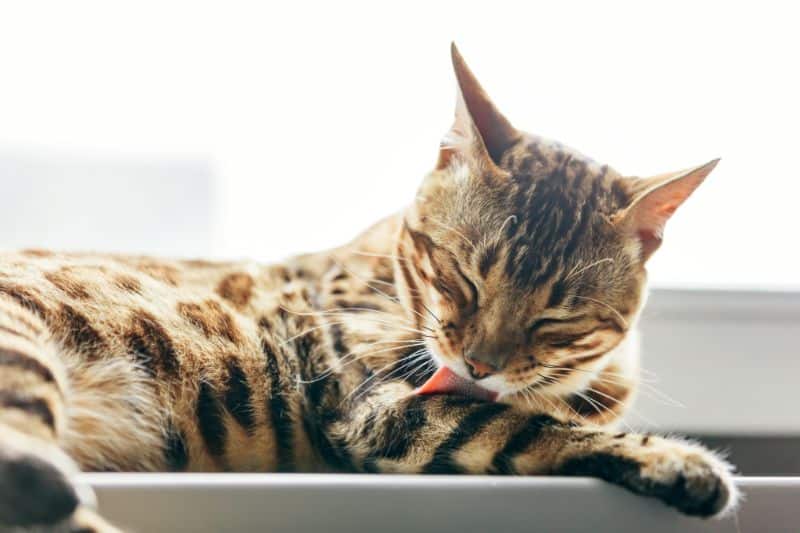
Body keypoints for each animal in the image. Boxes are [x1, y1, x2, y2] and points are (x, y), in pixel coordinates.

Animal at [0, 44, 736, 528]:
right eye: (462, 278)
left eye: (556, 318)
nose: (480, 363)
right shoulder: (378, 404)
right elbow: (524, 424)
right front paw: (679, 460)